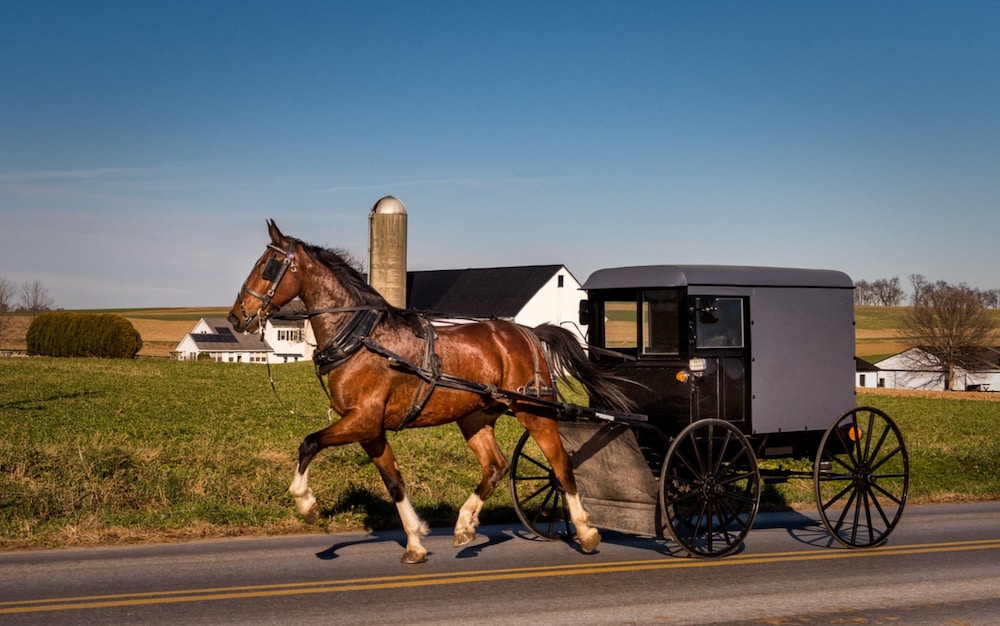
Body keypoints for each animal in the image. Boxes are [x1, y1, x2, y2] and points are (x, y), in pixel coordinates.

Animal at [229, 219, 628, 560]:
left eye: (267, 266)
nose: (236, 316)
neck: (360, 338)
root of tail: (528, 331)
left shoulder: (362, 420)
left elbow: (309, 442)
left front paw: (306, 503)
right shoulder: (370, 430)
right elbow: (394, 482)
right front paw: (415, 541)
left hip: (535, 411)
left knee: (561, 465)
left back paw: (586, 531)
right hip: (475, 417)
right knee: (495, 467)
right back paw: (465, 525)